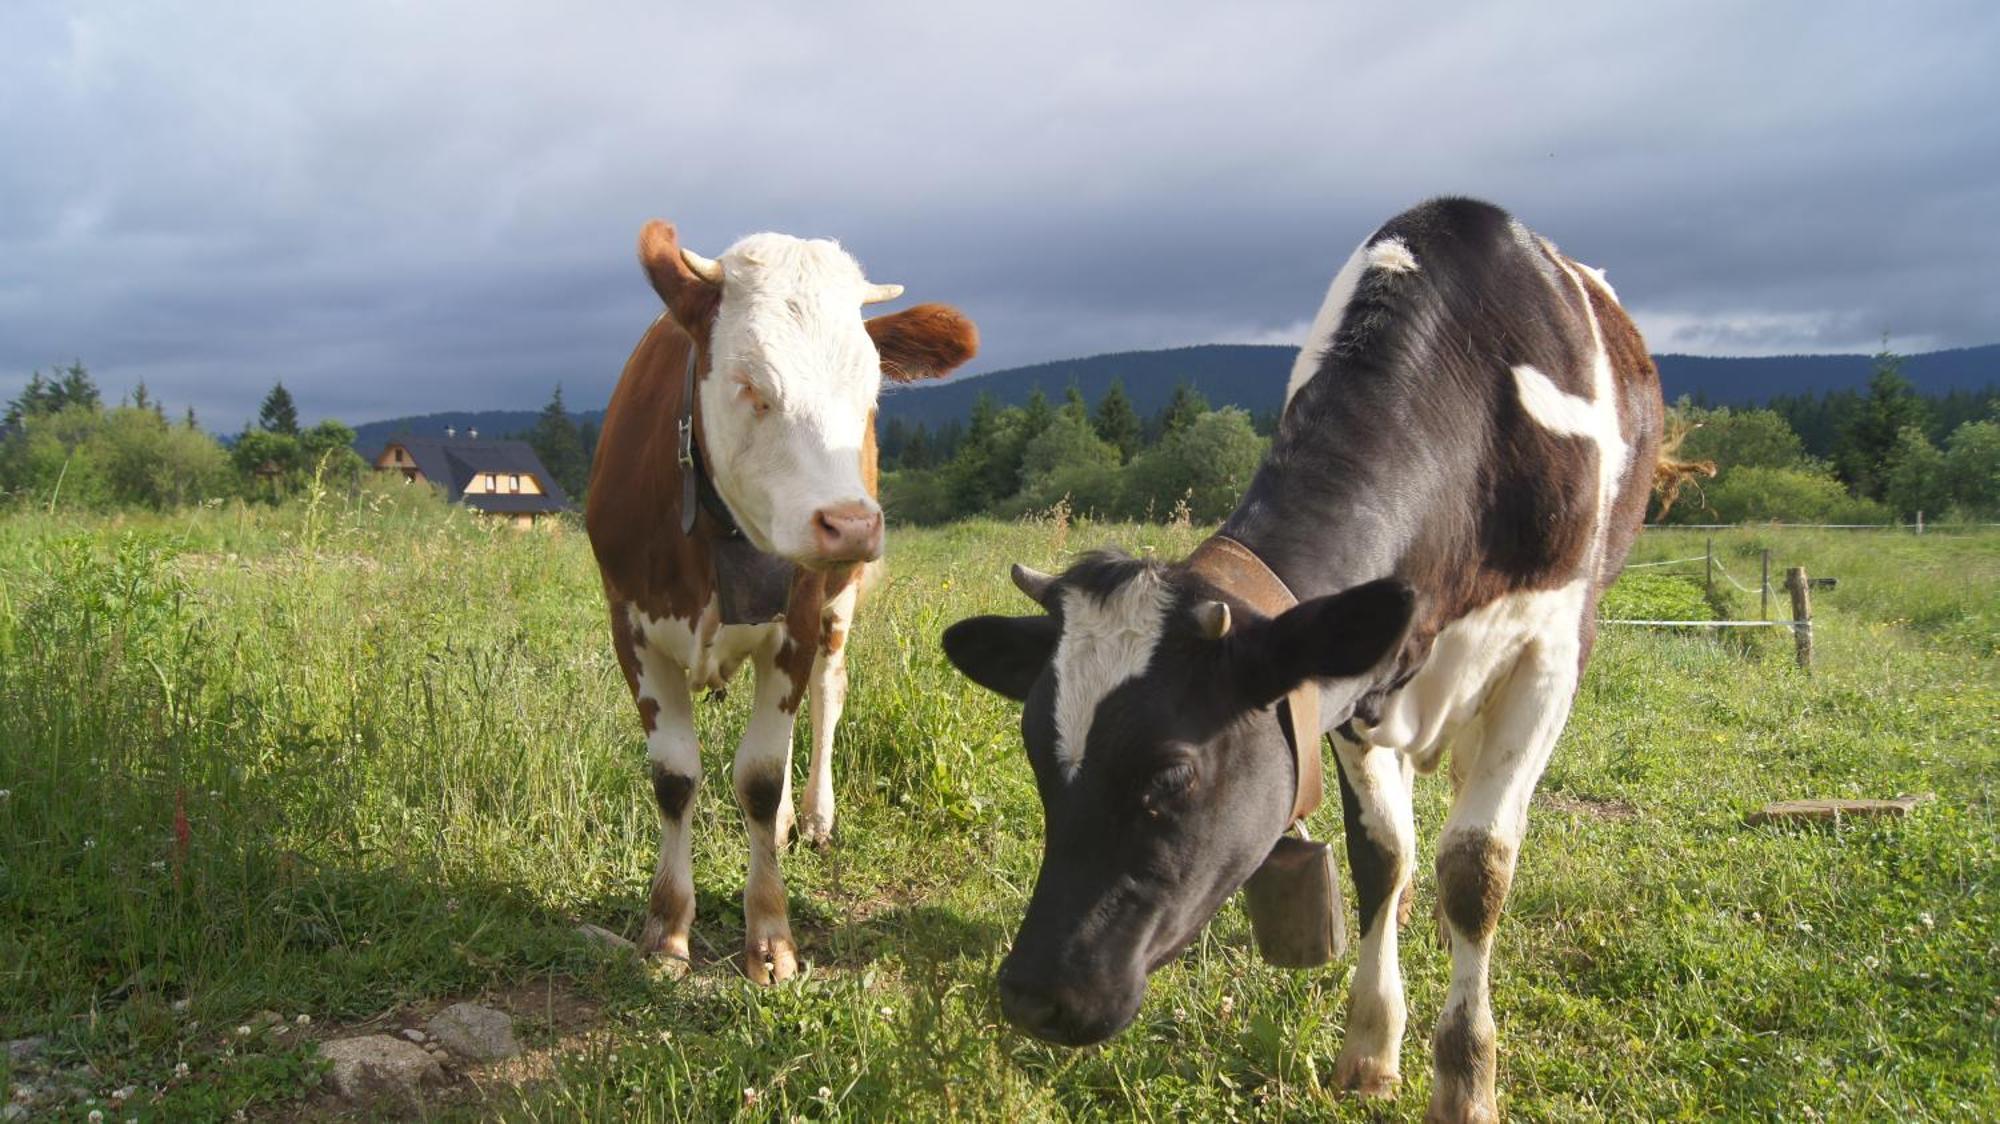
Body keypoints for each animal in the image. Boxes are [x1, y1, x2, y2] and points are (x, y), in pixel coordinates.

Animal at [584, 221, 976, 980]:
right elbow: (675, 777)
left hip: (834, 609)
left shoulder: (794, 622)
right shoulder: (632, 628)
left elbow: (760, 778)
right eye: (750, 386)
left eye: (871, 391)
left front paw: (769, 935)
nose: (850, 523)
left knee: (824, 694)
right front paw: (666, 931)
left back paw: (814, 814)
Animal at [944, 197, 1664, 1112]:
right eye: (1038, 753)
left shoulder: (1550, 653)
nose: (1034, 996)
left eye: (1172, 777)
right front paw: (1372, 1044)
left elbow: (1477, 868)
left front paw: (1466, 1080)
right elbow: (1382, 855)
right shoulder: (1356, 684)